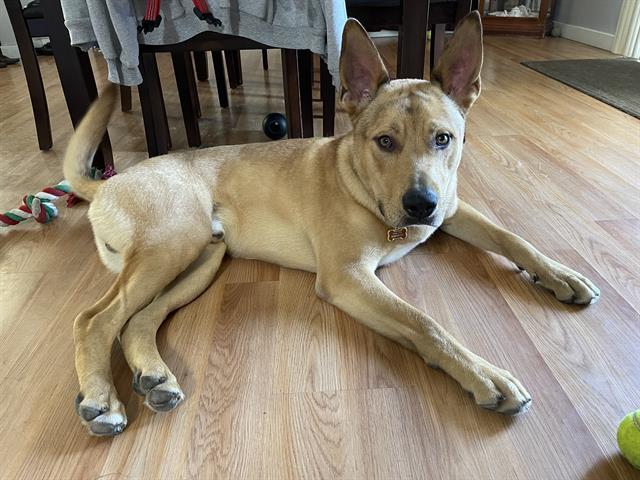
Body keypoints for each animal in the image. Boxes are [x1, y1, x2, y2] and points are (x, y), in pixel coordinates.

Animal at [65, 13, 600, 436]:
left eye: (443, 139)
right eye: (385, 141)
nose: (420, 205)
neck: (365, 190)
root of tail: (107, 183)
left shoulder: (452, 210)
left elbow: (515, 238)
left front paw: (561, 275)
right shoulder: (348, 277)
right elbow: (423, 322)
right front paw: (484, 374)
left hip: (202, 259)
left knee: (137, 321)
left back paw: (154, 377)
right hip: (172, 245)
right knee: (94, 319)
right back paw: (102, 400)